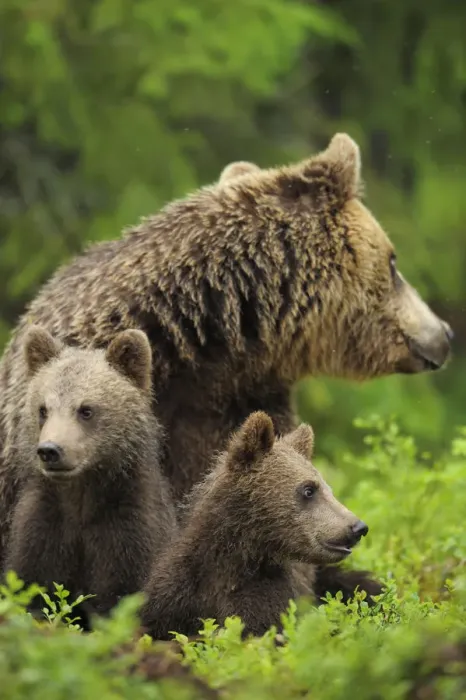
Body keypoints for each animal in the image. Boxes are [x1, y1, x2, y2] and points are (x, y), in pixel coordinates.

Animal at [3, 326, 176, 627]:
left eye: (86, 409)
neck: (81, 497)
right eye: (43, 409)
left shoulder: (128, 532)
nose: (50, 450)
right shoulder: (43, 529)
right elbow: (32, 587)